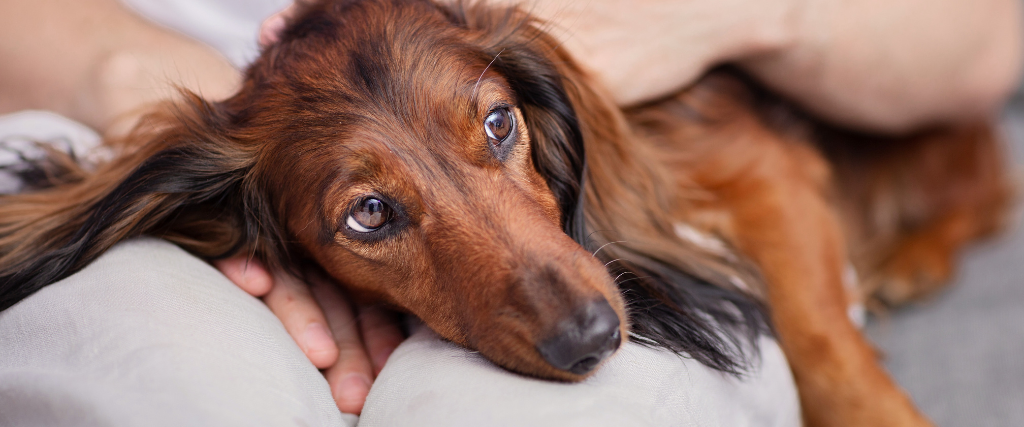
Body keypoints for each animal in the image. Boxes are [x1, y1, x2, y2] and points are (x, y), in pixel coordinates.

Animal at [0, 0, 1007, 423]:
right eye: (369, 214)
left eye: (497, 122)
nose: (593, 337)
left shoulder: (758, 164)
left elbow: (825, 345)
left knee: (989, 186)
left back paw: (914, 255)